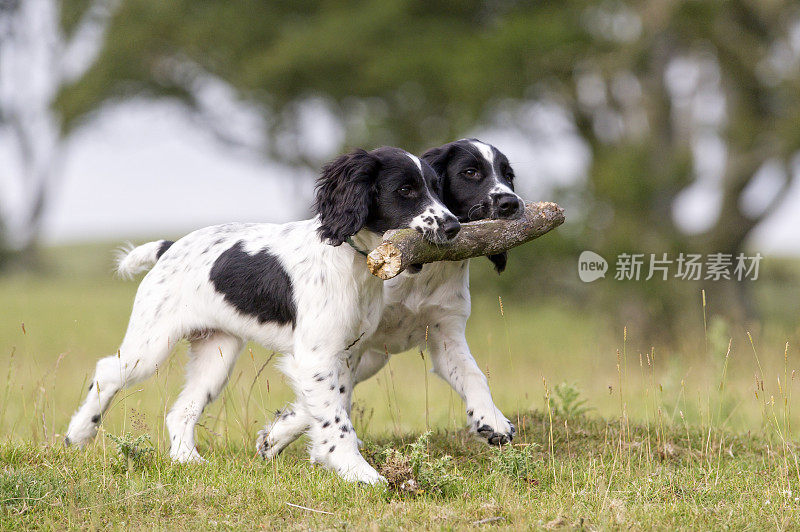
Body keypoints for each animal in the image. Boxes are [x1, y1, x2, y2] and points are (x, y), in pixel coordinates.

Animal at [65, 144, 460, 482]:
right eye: (405, 190)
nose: (454, 227)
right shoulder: (316, 358)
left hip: (217, 354)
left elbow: (331, 407)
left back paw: (188, 460)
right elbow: (335, 420)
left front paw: (298, 446)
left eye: (437, 188)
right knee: (108, 371)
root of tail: (169, 247)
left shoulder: (347, 354)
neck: (350, 262)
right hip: (150, 345)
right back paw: (79, 433)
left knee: (182, 409)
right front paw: (358, 472)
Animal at [256, 138, 528, 458]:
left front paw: (492, 420)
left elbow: (473, 374)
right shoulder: (348, 339)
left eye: (508, 175)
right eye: (470, 172)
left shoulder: (445, 332)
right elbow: (331, 391)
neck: (421, 273)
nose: (512, 203)